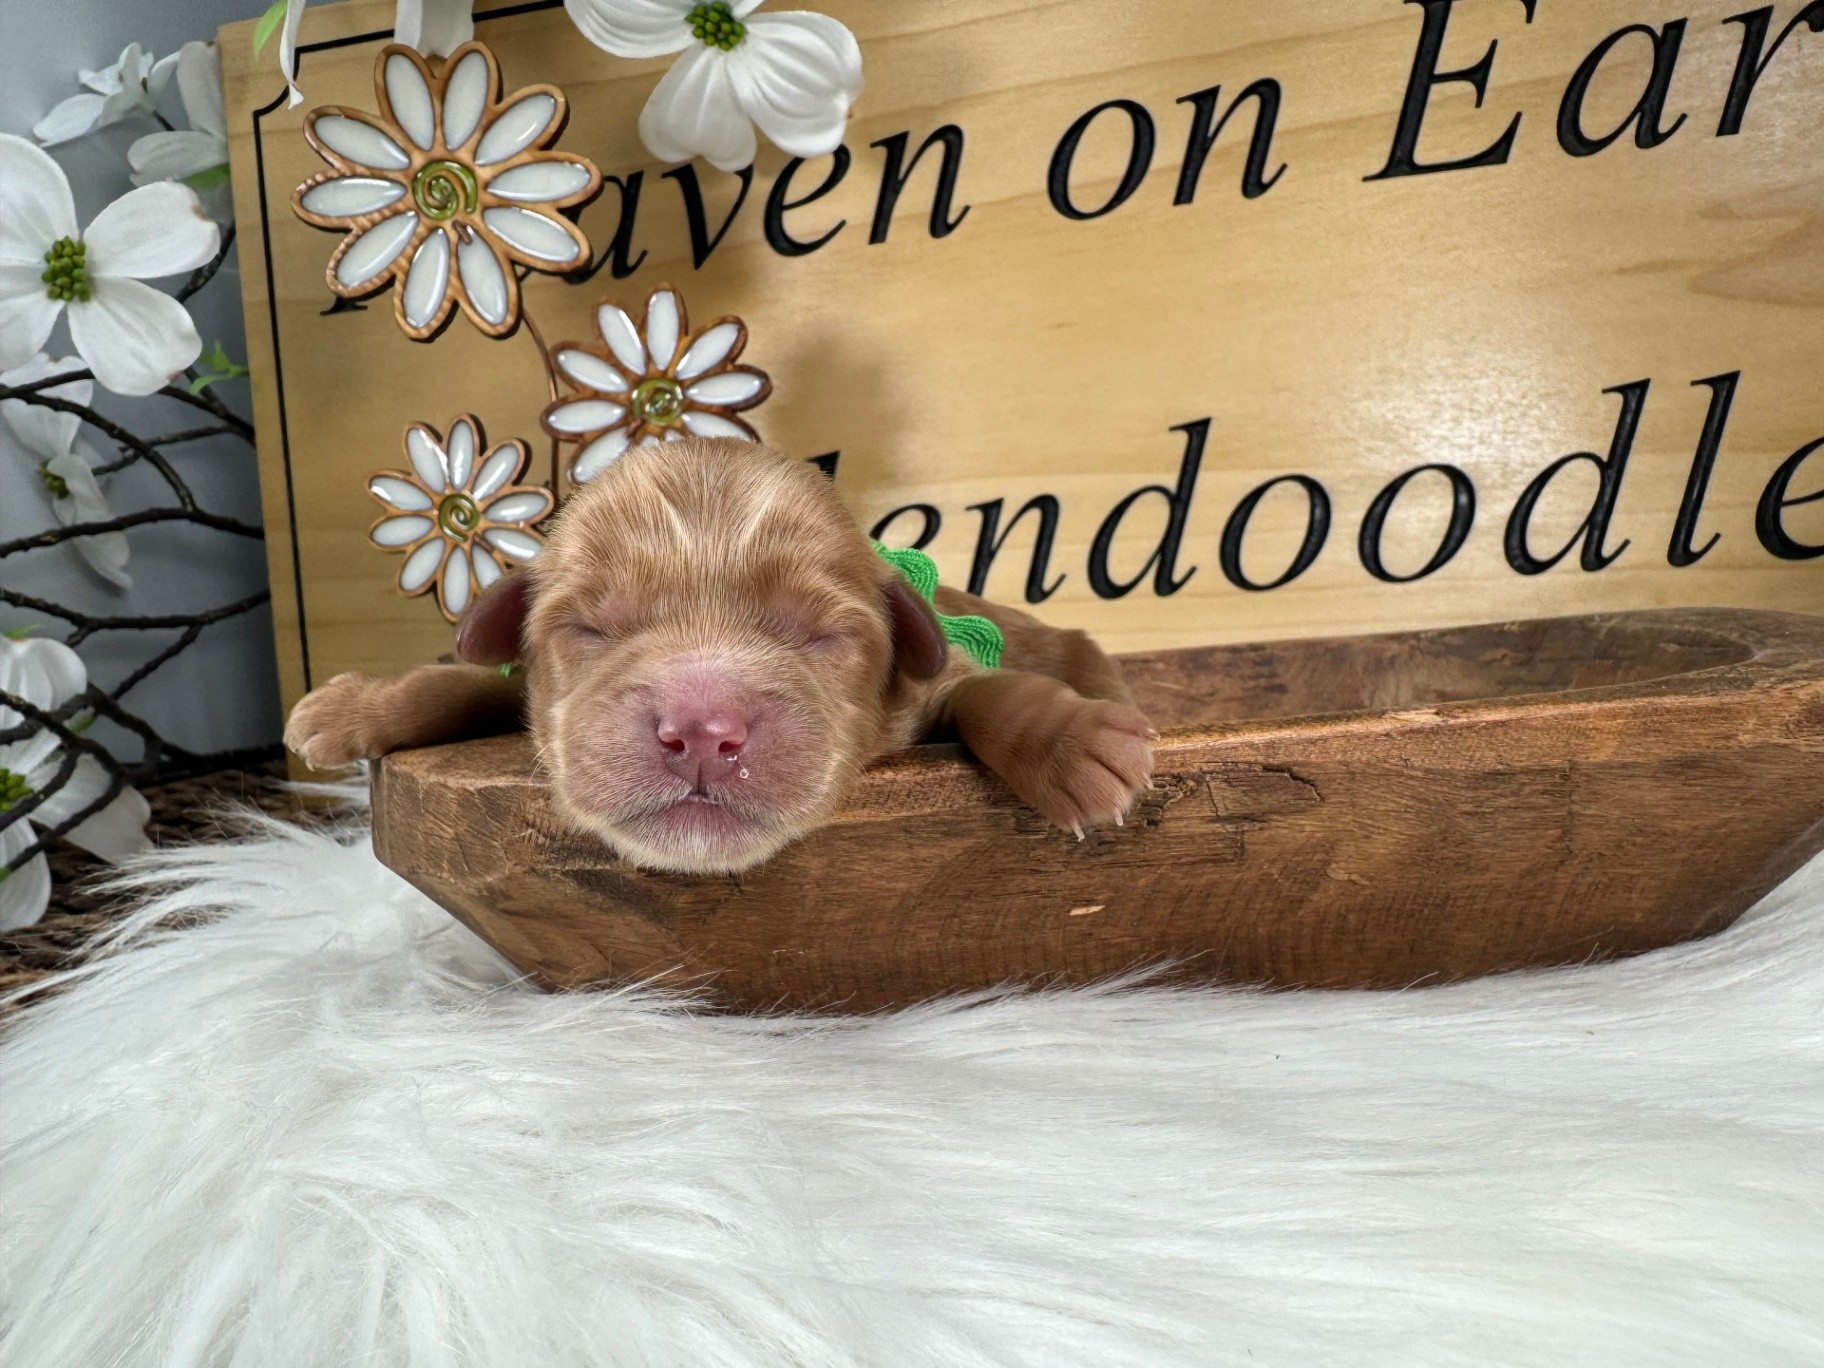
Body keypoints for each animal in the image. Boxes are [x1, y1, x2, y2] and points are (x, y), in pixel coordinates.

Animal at [286, 438, 1154, 873]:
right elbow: (464, 681)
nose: (702, 731)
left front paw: (1076, 744)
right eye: (590, 629)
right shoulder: (533, 687)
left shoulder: (939, 678)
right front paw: (353, 705)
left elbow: (993, 691)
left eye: (822, 635)